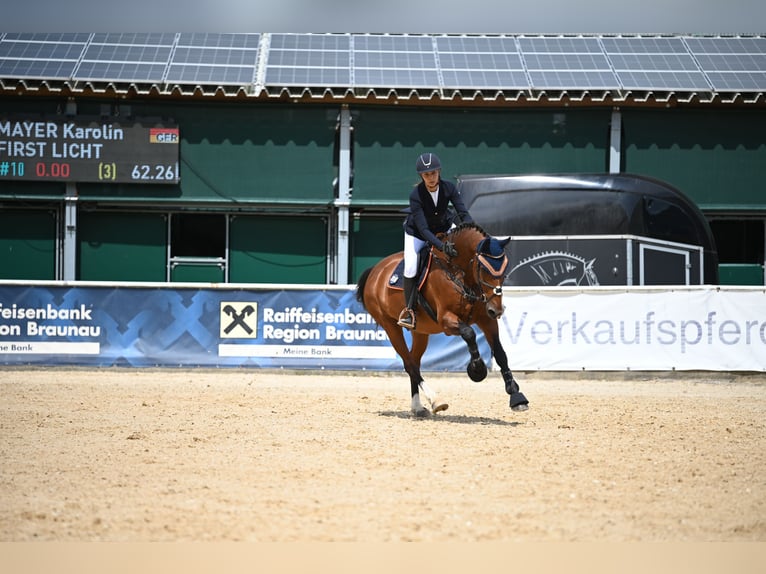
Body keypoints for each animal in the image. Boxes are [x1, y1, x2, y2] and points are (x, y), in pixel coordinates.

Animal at [355, 222, 529, 416]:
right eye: (484, 269)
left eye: (505, 270)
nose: (497, 310)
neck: (460, 274)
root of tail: (375, 270)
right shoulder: (446, 320)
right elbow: (469, 333)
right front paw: (477, 369)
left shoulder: (486, 320)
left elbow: (500, 353)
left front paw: (516, 396)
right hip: (390, 326)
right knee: (409, 364)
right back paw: (435, 400)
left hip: (420, 332)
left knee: (414, 362)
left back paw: (417, 407)